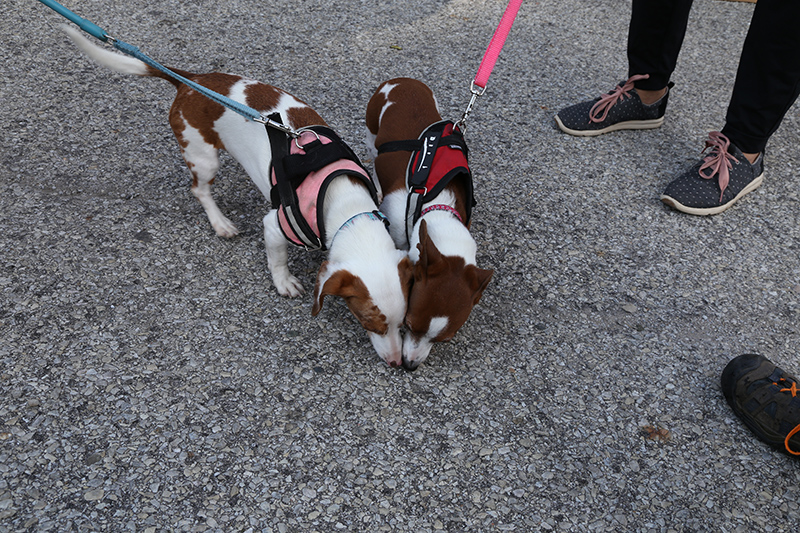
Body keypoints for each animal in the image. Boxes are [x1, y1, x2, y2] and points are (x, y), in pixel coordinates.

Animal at [62, 26, 412, 366]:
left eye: (403, 323)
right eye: (368, 322)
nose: (397, 363)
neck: (347, 204)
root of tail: (193, 81)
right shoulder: (275, 225)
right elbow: (277, 259)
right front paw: (284, 282)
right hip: (204, 158)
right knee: (199, 189)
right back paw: (221, 223)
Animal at [364, 78, 490, 370]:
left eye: (444, 339)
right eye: (408, 325)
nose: (410, 366)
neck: (437, 209)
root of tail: (402, 80)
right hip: (372, 128)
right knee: (374, 155)